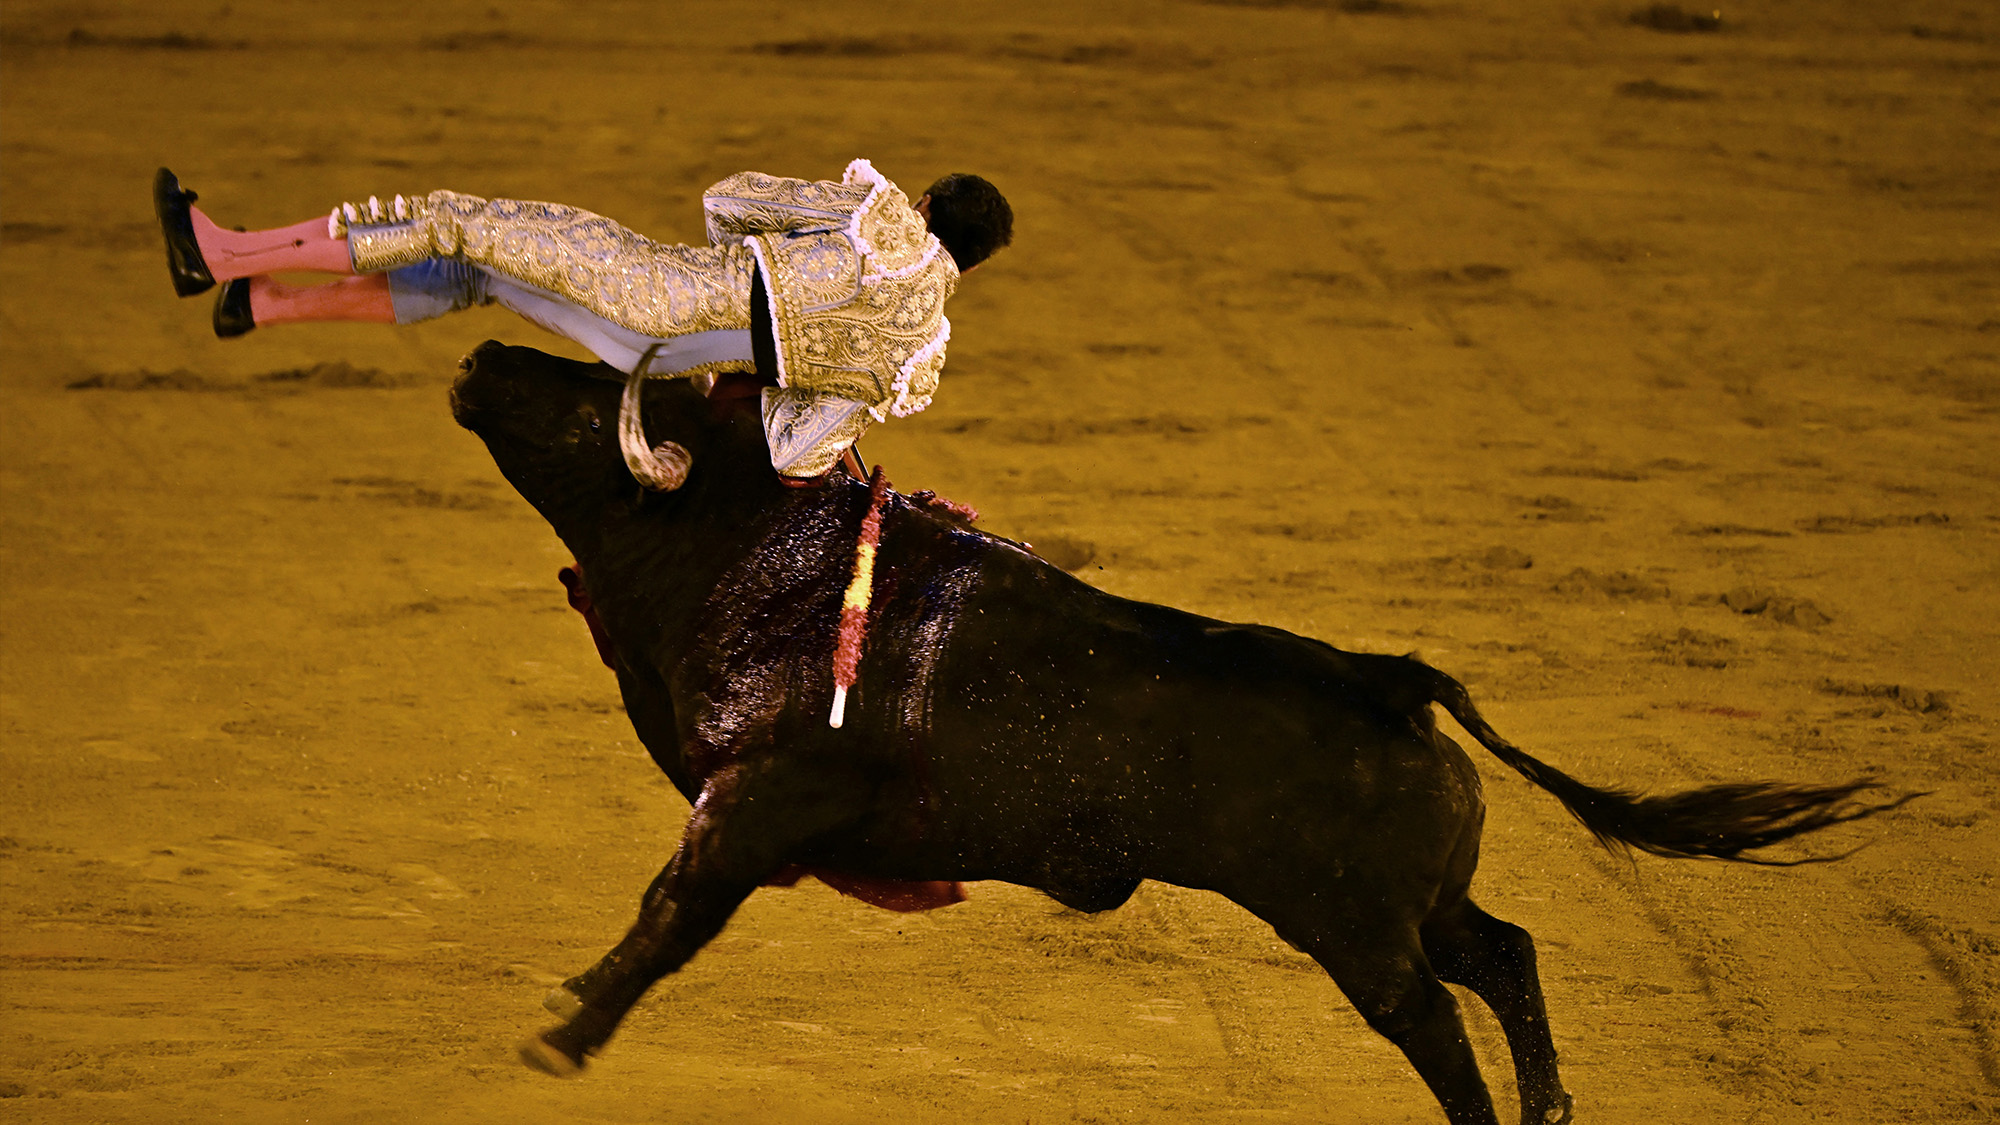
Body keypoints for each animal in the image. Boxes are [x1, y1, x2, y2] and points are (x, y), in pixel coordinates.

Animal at [447, 339, 1911, 1125]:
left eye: (594, 398)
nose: (479, 357)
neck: (748, 543)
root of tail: (1386, 679)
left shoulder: (752, 804)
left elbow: (666, 916)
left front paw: (562, 1038)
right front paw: (567, 1012)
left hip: (1352, 924)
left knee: (1437, 1012)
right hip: (1413, 902)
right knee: (1502, 951)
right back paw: (1546, 1105)